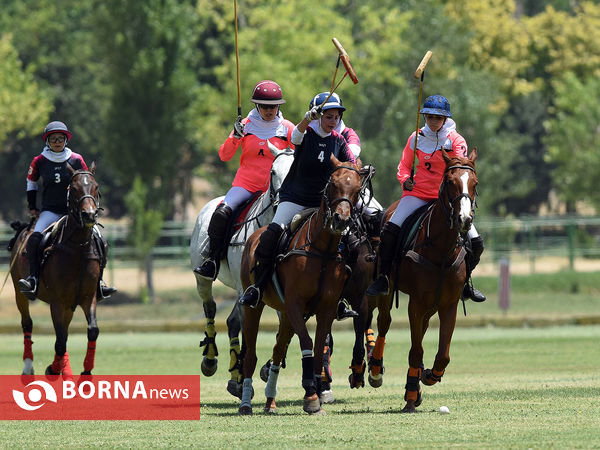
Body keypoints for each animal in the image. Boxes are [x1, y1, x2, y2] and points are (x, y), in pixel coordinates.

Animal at [9, 163, 102, 380]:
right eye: (73, 189)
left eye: (95, 187)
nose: (89, 215)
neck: (78, 248)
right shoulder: (57, 301)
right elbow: (59, 341)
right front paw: (52, 370)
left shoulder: (88, 296)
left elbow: (91, 331)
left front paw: (85, 373)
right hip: (20, 292)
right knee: (28, 324)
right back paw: (28, 368)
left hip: (69, 304)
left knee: (64, 332)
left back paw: (65, 372)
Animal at [190, 142, 292, 398]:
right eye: (272, 172)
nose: (282, 203)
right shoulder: (246, 288)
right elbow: (249, 332)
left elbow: (284, 326)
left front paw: (266, 368)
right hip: (204, 278)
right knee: (211, 308)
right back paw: (211, 360)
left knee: (232, 321)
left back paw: (235, 375)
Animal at [238, 155, 360, 414]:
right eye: (332, 184)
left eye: (357, 189)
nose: (341, 220)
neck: (323, 250)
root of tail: (255, 234)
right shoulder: (295, 303)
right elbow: (307, 343)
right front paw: (311, 396)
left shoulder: (325, 308)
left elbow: (317, 347)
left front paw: (314, 393)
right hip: (255, 305)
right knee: (251, 353)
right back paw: (245, 403)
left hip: (285, 314)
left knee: (277, 350)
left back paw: (270, 402)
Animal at [366, 148, 478, 412]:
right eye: (450, 182)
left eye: (475, 183)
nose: (464, 219)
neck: (442, 249)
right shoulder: (415, 302)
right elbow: (415, 350)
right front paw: (410, 395)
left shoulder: (449, 304)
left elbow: (443, 354)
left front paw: (428, 376)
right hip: (389, 288)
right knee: (384, 322)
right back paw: (376, 371)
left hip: (431, 303)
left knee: (423, 328)